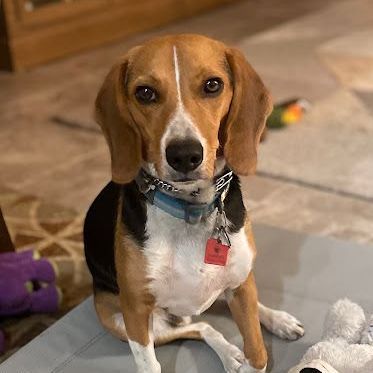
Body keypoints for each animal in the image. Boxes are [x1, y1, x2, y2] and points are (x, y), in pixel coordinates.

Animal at [83, 33, 302, 370]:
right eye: (145, 93)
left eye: (213, 85)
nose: (184, 154)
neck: (192, 208)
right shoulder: (134, 312)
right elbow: (150, 363)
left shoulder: (240, 288)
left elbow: (257, 351)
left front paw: (256, 350)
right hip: (119, 318)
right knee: (202, 327)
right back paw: (230, 354)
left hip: (237, 282)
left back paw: (277, 319)